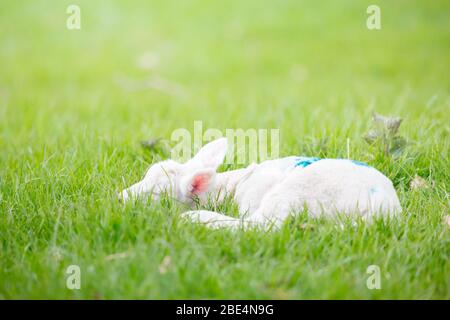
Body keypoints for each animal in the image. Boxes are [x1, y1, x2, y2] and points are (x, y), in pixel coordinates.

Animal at [119, 138, 400, 230]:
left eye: (156, 195)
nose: (119, 199)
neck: (227, 189)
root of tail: (384, 206)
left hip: (293, 192)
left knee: (261, 227)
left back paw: (198, 218)